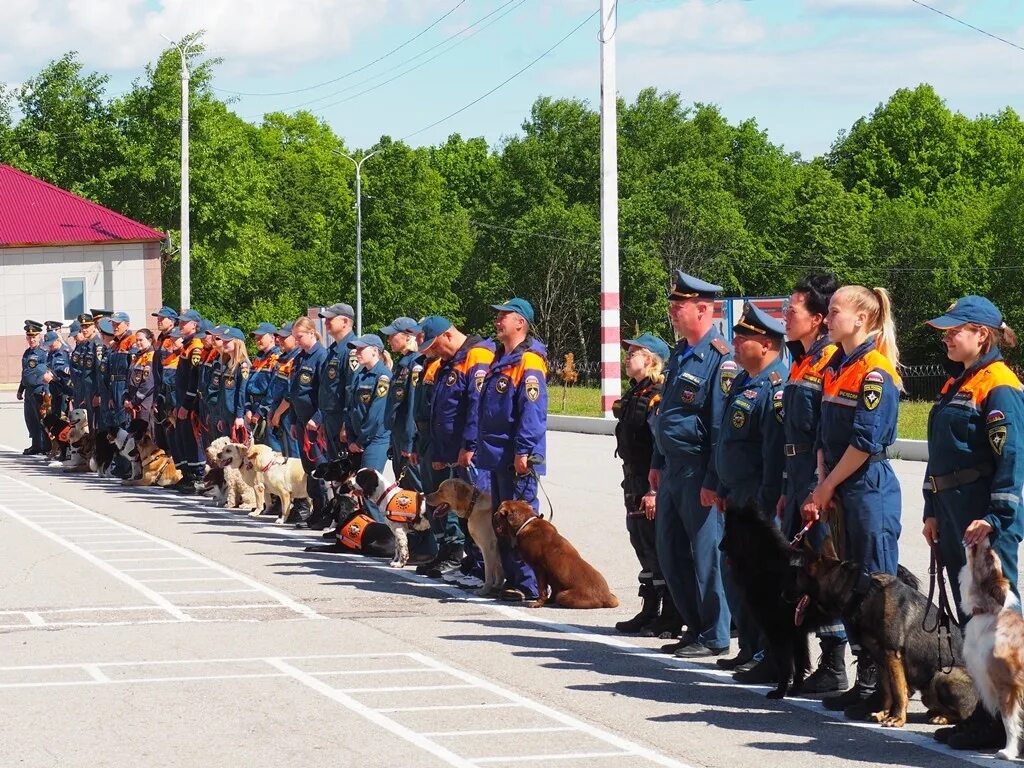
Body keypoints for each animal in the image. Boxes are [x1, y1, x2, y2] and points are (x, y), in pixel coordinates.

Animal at [798, 552, 974, 729]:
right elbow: (887, 690)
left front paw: (897, 718)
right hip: (928, 694)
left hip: (943, 675)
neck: (861, 593)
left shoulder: (892, 655)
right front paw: (883, 713)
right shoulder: (880, 660)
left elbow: (898, 690)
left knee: (963, 714)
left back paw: (942, 718)